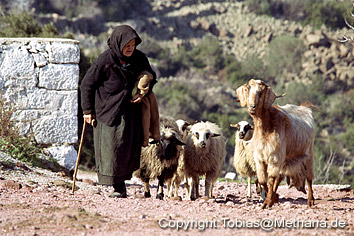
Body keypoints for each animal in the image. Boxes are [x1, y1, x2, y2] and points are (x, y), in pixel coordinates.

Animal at [235, 79, 316, 208]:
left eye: (261, 92)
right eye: (247, 90)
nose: (252, 106)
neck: (266, 128)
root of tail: (305, 109)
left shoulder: (274, 157)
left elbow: (271, 179)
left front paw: (267, 202)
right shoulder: (259, 158)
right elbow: (262, 181)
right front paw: (273, 197)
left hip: (308, 154)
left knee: (309, 177)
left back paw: (311, 200)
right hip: (285, 159)